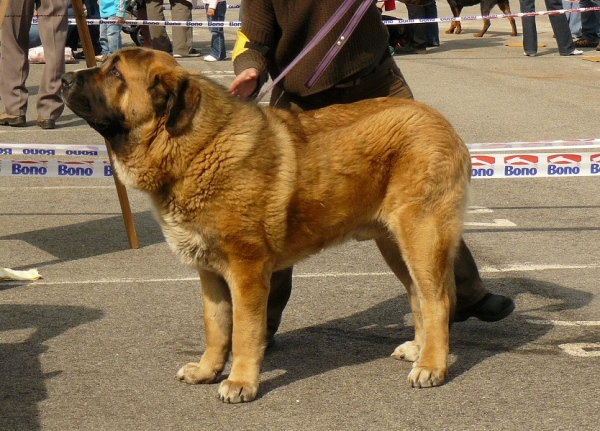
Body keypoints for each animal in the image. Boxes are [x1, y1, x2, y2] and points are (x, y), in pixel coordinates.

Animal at [62, 48, 474, 404]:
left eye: (115, 73)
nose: (65, 78)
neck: (195, 148)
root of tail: (445, 125)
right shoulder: (209, 273)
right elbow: (216, 326)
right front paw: (207, 370)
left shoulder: (246, 270)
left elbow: (244, 332)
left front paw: (240, 382)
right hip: (394, 245)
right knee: (417, 295)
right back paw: (418, 349)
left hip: (421, 237)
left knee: (438, 300)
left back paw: (432, 366)